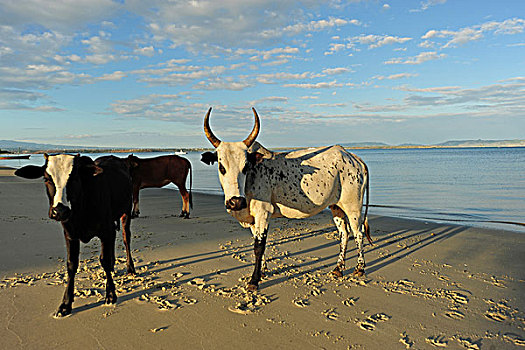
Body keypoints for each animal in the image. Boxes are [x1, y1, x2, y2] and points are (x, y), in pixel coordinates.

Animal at [15, 154, 136, 316]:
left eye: (74, 178)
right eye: (46, 179)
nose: (60, 211)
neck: (81, 211)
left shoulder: (105, 230)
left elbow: (104, 260)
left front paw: (111, 294)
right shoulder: (70, 235)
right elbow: (71, 265)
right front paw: (65, 304)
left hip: (126, 211)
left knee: (125, 238)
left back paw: (130, 268)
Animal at [201, 108, 372, 292]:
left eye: (245, 166)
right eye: (221, 166)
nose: (236, 202)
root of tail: (353, 157)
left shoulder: (263, 213)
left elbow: (259, 247)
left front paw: (254, 281)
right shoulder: (253, 220)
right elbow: (258, 244)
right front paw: (262, 272)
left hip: (353, 206)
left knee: (358, 232)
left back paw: (359, 268)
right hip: (336, 206)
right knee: (344, 233)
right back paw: (338, 269)